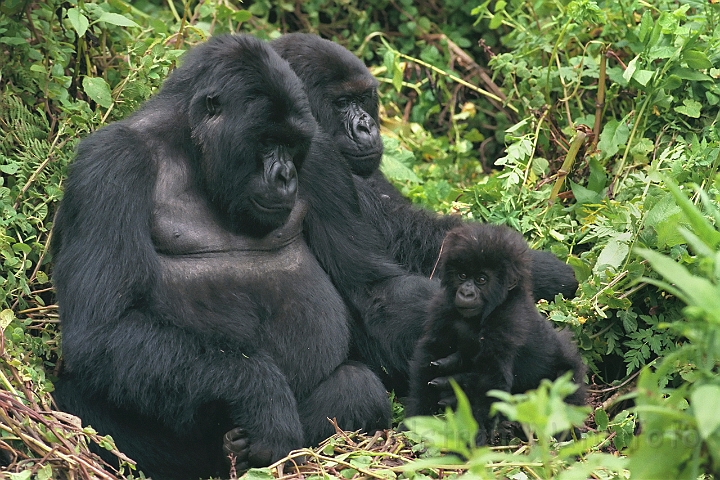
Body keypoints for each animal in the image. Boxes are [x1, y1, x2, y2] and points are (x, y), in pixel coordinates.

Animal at [52, 34, 394, 480]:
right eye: (266, 141)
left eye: (291, 145)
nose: (285, 177)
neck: (191, 147)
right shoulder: (110, 163)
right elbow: (102, 328)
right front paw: (263, 396)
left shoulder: (320, 152)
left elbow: (368, 288)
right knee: (78, 398)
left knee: (357, 386)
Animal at [404, 225, 584, 442]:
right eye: (462, 276)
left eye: (481, 279)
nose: (466, 293)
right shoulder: (443, 306)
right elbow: (431, 352)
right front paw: (416, 417)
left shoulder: (507, 319)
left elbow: (491, 380)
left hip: (570, 373)